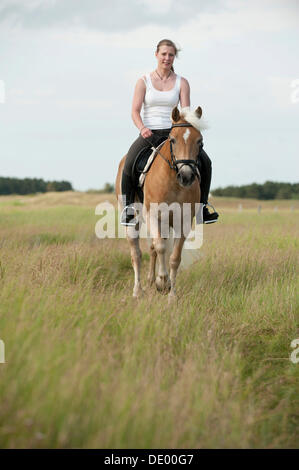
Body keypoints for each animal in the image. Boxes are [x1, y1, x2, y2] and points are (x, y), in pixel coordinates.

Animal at [115, 105, 206, 300]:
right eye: (172, 140)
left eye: (200, 142)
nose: (186, 176)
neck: (173, 182)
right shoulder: (153, 216)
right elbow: (162, 248)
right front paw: (162, 282)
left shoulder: (183, 222)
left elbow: (174, 256)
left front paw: (171, 294)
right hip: (133, 218)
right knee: (137, 253)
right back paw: (138, 291)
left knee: (152, 248)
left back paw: (150, 281)